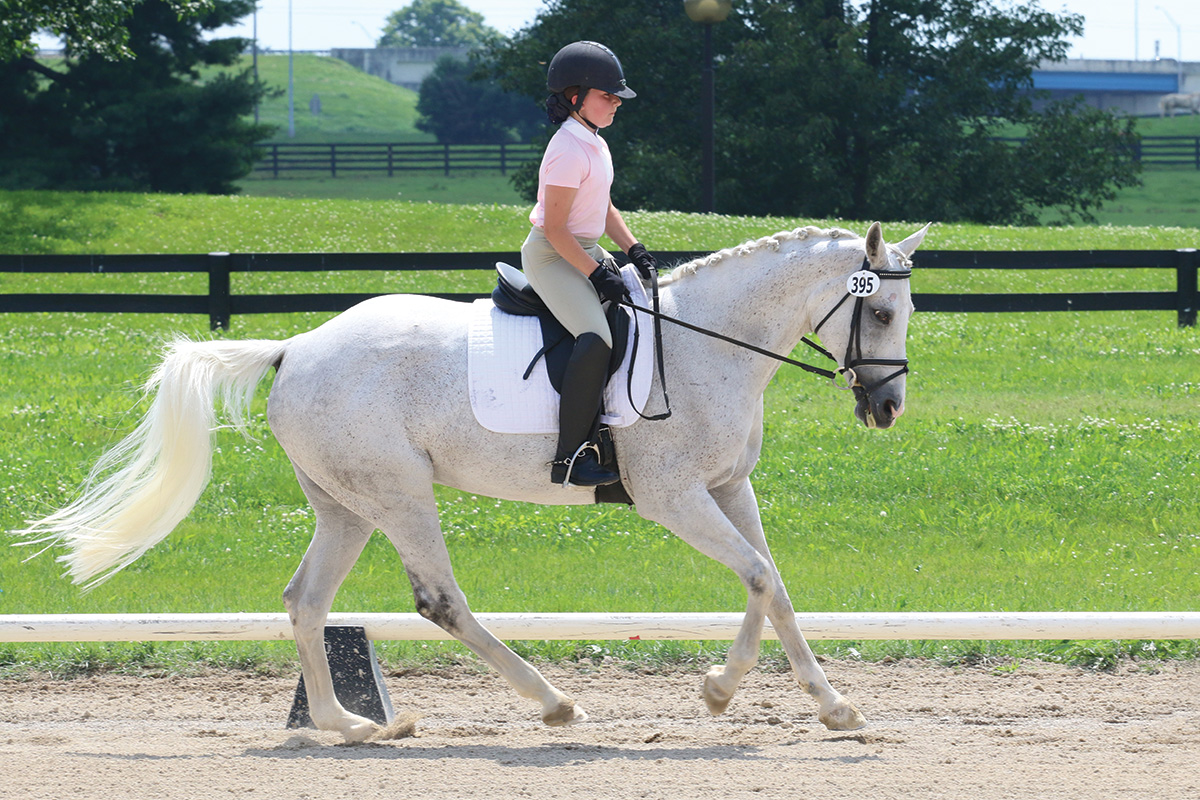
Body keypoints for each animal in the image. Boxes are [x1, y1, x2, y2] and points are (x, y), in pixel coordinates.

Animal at [18, 220, 926, 743]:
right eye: (879, 313)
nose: (887, 409)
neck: (710, 342)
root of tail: (295, 347)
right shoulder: (674, 497)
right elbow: (759, 576)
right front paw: (723, 691)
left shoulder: (730, 489)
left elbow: (771, 583)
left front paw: (820, 705)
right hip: (398, 494)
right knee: (439, 600)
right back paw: (552, 703)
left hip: (346, 505)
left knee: (306, 601)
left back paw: (347, 725)